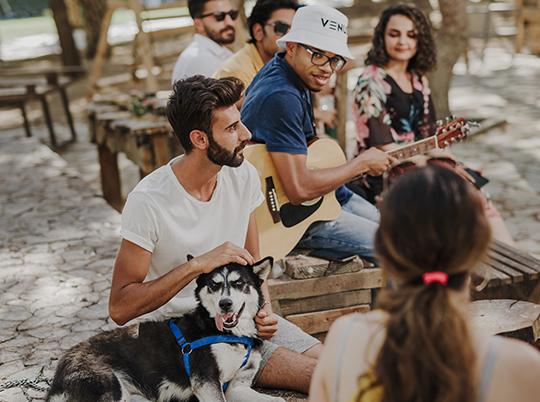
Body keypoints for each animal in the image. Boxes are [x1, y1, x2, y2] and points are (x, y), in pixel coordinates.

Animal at [46, 258, 284, 402]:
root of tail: (63, 363)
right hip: (112, 389)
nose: (225, 304)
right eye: (213, 285)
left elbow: (279, 399)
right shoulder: (207, 383)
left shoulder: (238, 387)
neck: (232, 336)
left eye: (239, 283)